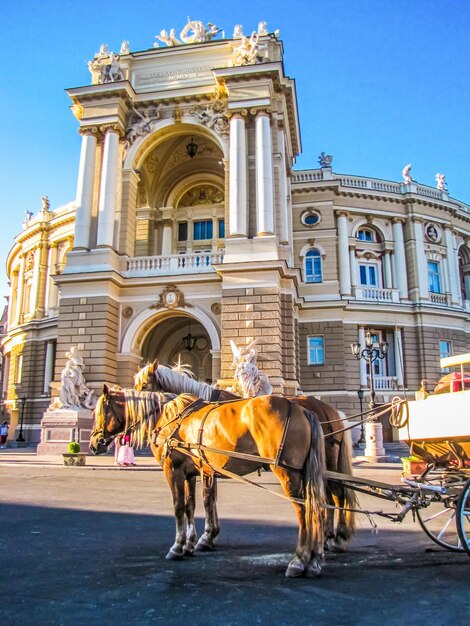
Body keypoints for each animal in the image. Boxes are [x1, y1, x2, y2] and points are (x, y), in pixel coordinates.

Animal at [91, 386, 326, 576]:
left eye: (100, 412)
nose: (94, 443)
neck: (169, 417)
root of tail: (301, 409)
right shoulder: (193, 472)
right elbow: (192, 506)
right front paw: (191, 544)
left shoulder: (173, 469)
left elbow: (179, 507)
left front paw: (177, 547)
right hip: (302, 473)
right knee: (316, 507)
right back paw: (314, 559)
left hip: (287, 472)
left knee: (303, 509)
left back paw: (299, 560)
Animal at [134, 358, 358, 548]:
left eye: (144, 385)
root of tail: (329, 409)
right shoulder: (209, 465)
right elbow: (210, 499)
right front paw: (209, 535)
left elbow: (206, 499)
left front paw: (205, 537)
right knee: (331, 497)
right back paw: (329, 537)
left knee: (334, 495)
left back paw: (333, 537)